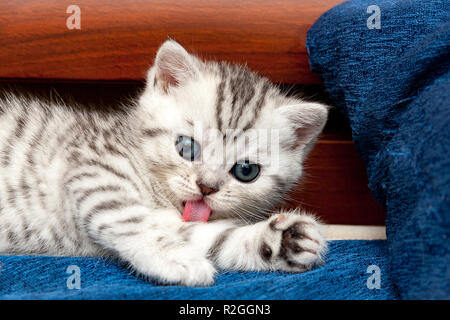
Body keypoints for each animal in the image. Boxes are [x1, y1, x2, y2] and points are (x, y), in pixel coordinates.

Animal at [0, 39, 328, 284]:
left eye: (246, 171)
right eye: (186, 147)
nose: (206, 187)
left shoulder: (176, 220)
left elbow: (213, 237)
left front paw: (282, 240)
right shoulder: (92, 166)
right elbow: (128, 219)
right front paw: (172, 257)